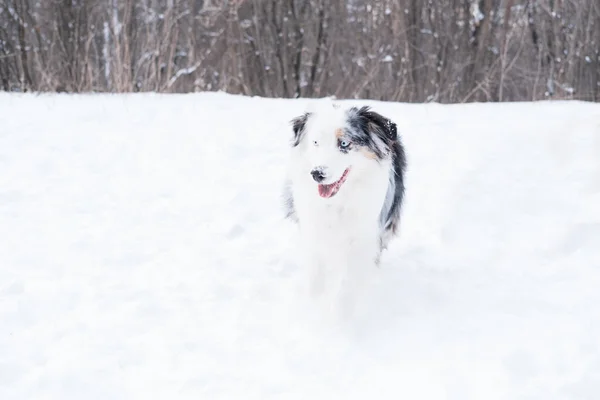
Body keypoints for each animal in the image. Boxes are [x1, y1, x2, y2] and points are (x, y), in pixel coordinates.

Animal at [282, 101, 406, 314]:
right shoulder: (314, 230)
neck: (337, 202)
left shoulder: (364, 238)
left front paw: (341, 315)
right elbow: (315, 277)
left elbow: (349, 282)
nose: (317, 173)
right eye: (316, 143)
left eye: (344, 143)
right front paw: (313, 307)